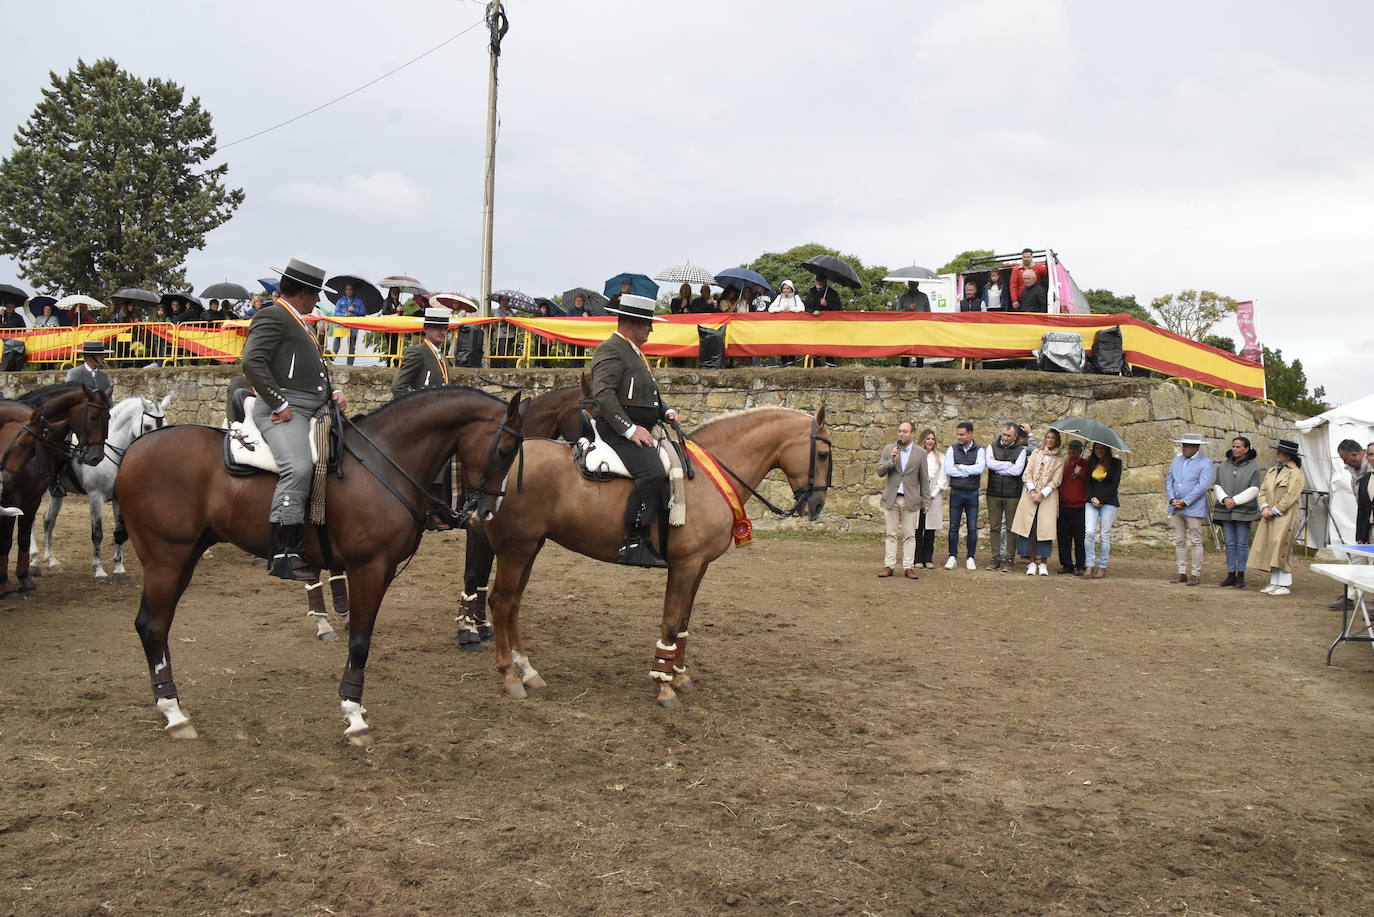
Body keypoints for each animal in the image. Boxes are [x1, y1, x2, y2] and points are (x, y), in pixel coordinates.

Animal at [0, 384, 109, 599]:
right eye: (92, 416)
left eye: (108, 417)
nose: (96, 458)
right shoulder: (10, 499)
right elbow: (7, 541)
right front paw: (5, 585)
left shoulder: (32, 499)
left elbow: (23, 538)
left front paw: (24, 580)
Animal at [41, 393, 170, 580]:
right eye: (147, 426)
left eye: (165, 424)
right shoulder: (96, 497)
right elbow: (97, 534)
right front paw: (99, 570)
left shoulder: (118, 498)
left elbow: (120, 533)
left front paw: (119, 568)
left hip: (56, 494)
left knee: (48, 520)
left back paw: (50, 559)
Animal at [118, 387, 522, 747]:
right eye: (505, 450)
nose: (488, 512)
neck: (383, 461)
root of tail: (136, 448)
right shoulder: (368, 569)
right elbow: (360, 639)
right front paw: (354, 713)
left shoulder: (380, 571)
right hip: (166, 559)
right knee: (152, 625)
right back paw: (173, 713)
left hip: (184, 558)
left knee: (157, 625)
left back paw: (171, 703)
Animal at [478, 406, 829, 709]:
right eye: (824, 454)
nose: (818, 506)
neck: (705, 479)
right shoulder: (685, 565)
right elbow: (671, 624)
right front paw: (664, 686)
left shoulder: (699, 566)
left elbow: (684, 621)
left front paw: (680, 676)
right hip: (516, 548)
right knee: (501, 603)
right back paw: (510, 676)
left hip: (531, 546)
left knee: (513, 604)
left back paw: (528, 672)